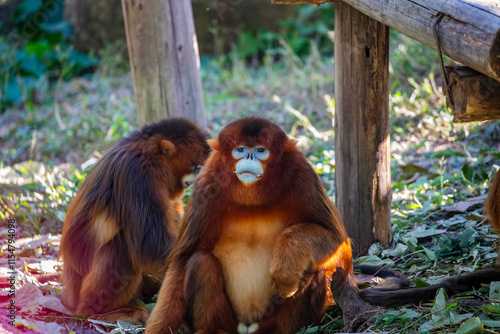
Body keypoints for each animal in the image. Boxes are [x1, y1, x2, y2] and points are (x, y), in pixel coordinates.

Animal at [145, 117, 356, 334]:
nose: (249, 156)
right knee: (200, 261)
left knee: (314, 265)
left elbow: (335, 238)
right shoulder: (207, 183)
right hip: (229, 322)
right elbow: (182, 260)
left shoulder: (303, 175)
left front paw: (286, 267)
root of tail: (248, 326)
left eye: (260, 150)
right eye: (240, 149)